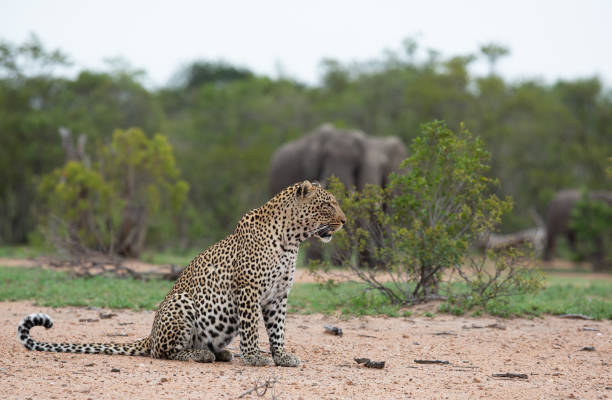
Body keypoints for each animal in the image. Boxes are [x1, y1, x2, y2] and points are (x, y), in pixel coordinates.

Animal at [16, 180, 344, 368]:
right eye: (327, 204)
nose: (343, 221)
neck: (292, 240)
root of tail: (149, 336)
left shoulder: (279, 295)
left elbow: (278, 330)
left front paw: (282, 357)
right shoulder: (248, 290)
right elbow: (252, 329)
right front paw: (255, 358)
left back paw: (221, 353)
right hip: (181, 304)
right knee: (164, 352)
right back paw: (201, 355)